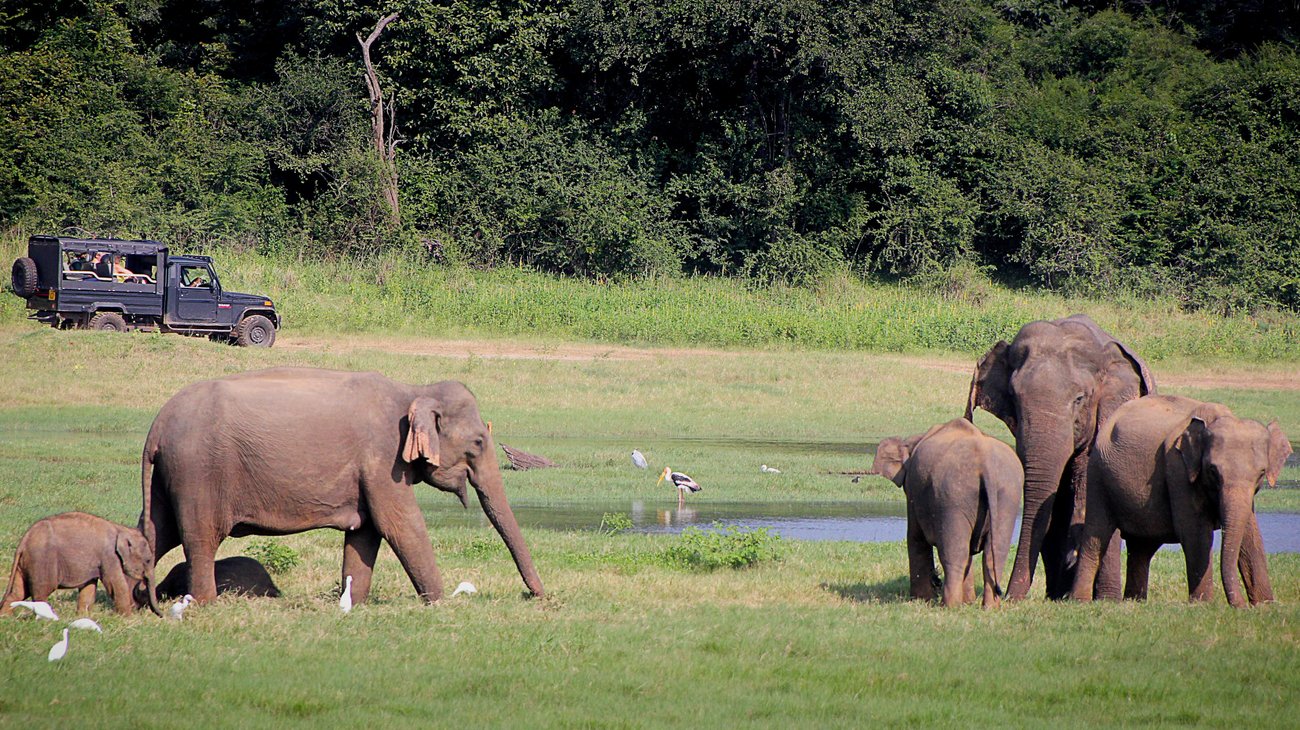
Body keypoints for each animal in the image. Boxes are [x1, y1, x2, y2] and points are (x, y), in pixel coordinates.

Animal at [1, 512, 161, 616]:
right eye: (148, 560)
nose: (161, 615)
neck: (121, 529)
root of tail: (24, 540)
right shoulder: (109, 556)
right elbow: (116, 584)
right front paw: (126, 618)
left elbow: (89, 586)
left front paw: (83, 616)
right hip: (42, 562)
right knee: (41, 592)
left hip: (27, 564)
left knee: (18, 592)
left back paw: (6, 618)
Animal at [139, 367, 544, 606]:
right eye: (478, 442)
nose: (537, 596)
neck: (414, 389)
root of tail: (157, 426)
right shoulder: (382, 459)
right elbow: (399, 524)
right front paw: (440, 604)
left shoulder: (370, 472)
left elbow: (366, 532)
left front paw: (354, 604)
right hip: (199, 472)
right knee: (200, 537)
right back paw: (204, 605)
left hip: (170, 476)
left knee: (155, 531)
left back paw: (139, 603)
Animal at [870, 418, 1022, 607]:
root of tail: (986, 463)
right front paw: (968, 602)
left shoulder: (913, 490)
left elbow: (915, 537)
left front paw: (921, 599)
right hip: (1007, 495)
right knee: (994, 553)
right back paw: (989, 607)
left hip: (953, 495)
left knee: (954, 552)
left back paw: (949, 606)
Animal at [966, 314, 1156, 600]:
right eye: (1013, 397)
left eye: (1079, 399)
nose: (1005, 595)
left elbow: (1086, 483)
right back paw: (1059, 594)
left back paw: (1102, 597)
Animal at [1072, 395, 1291, 607]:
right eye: (1212, 471)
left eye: (1261, 473)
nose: (1240, 606)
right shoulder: (1178, 469)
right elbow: (1195, 532)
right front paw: (1202, 605)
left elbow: (1251, 535)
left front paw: (1266, 605)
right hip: (1098, 475)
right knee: (1096, 536)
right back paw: (1081, 601)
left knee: (1142, 547)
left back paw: (1134, 602)